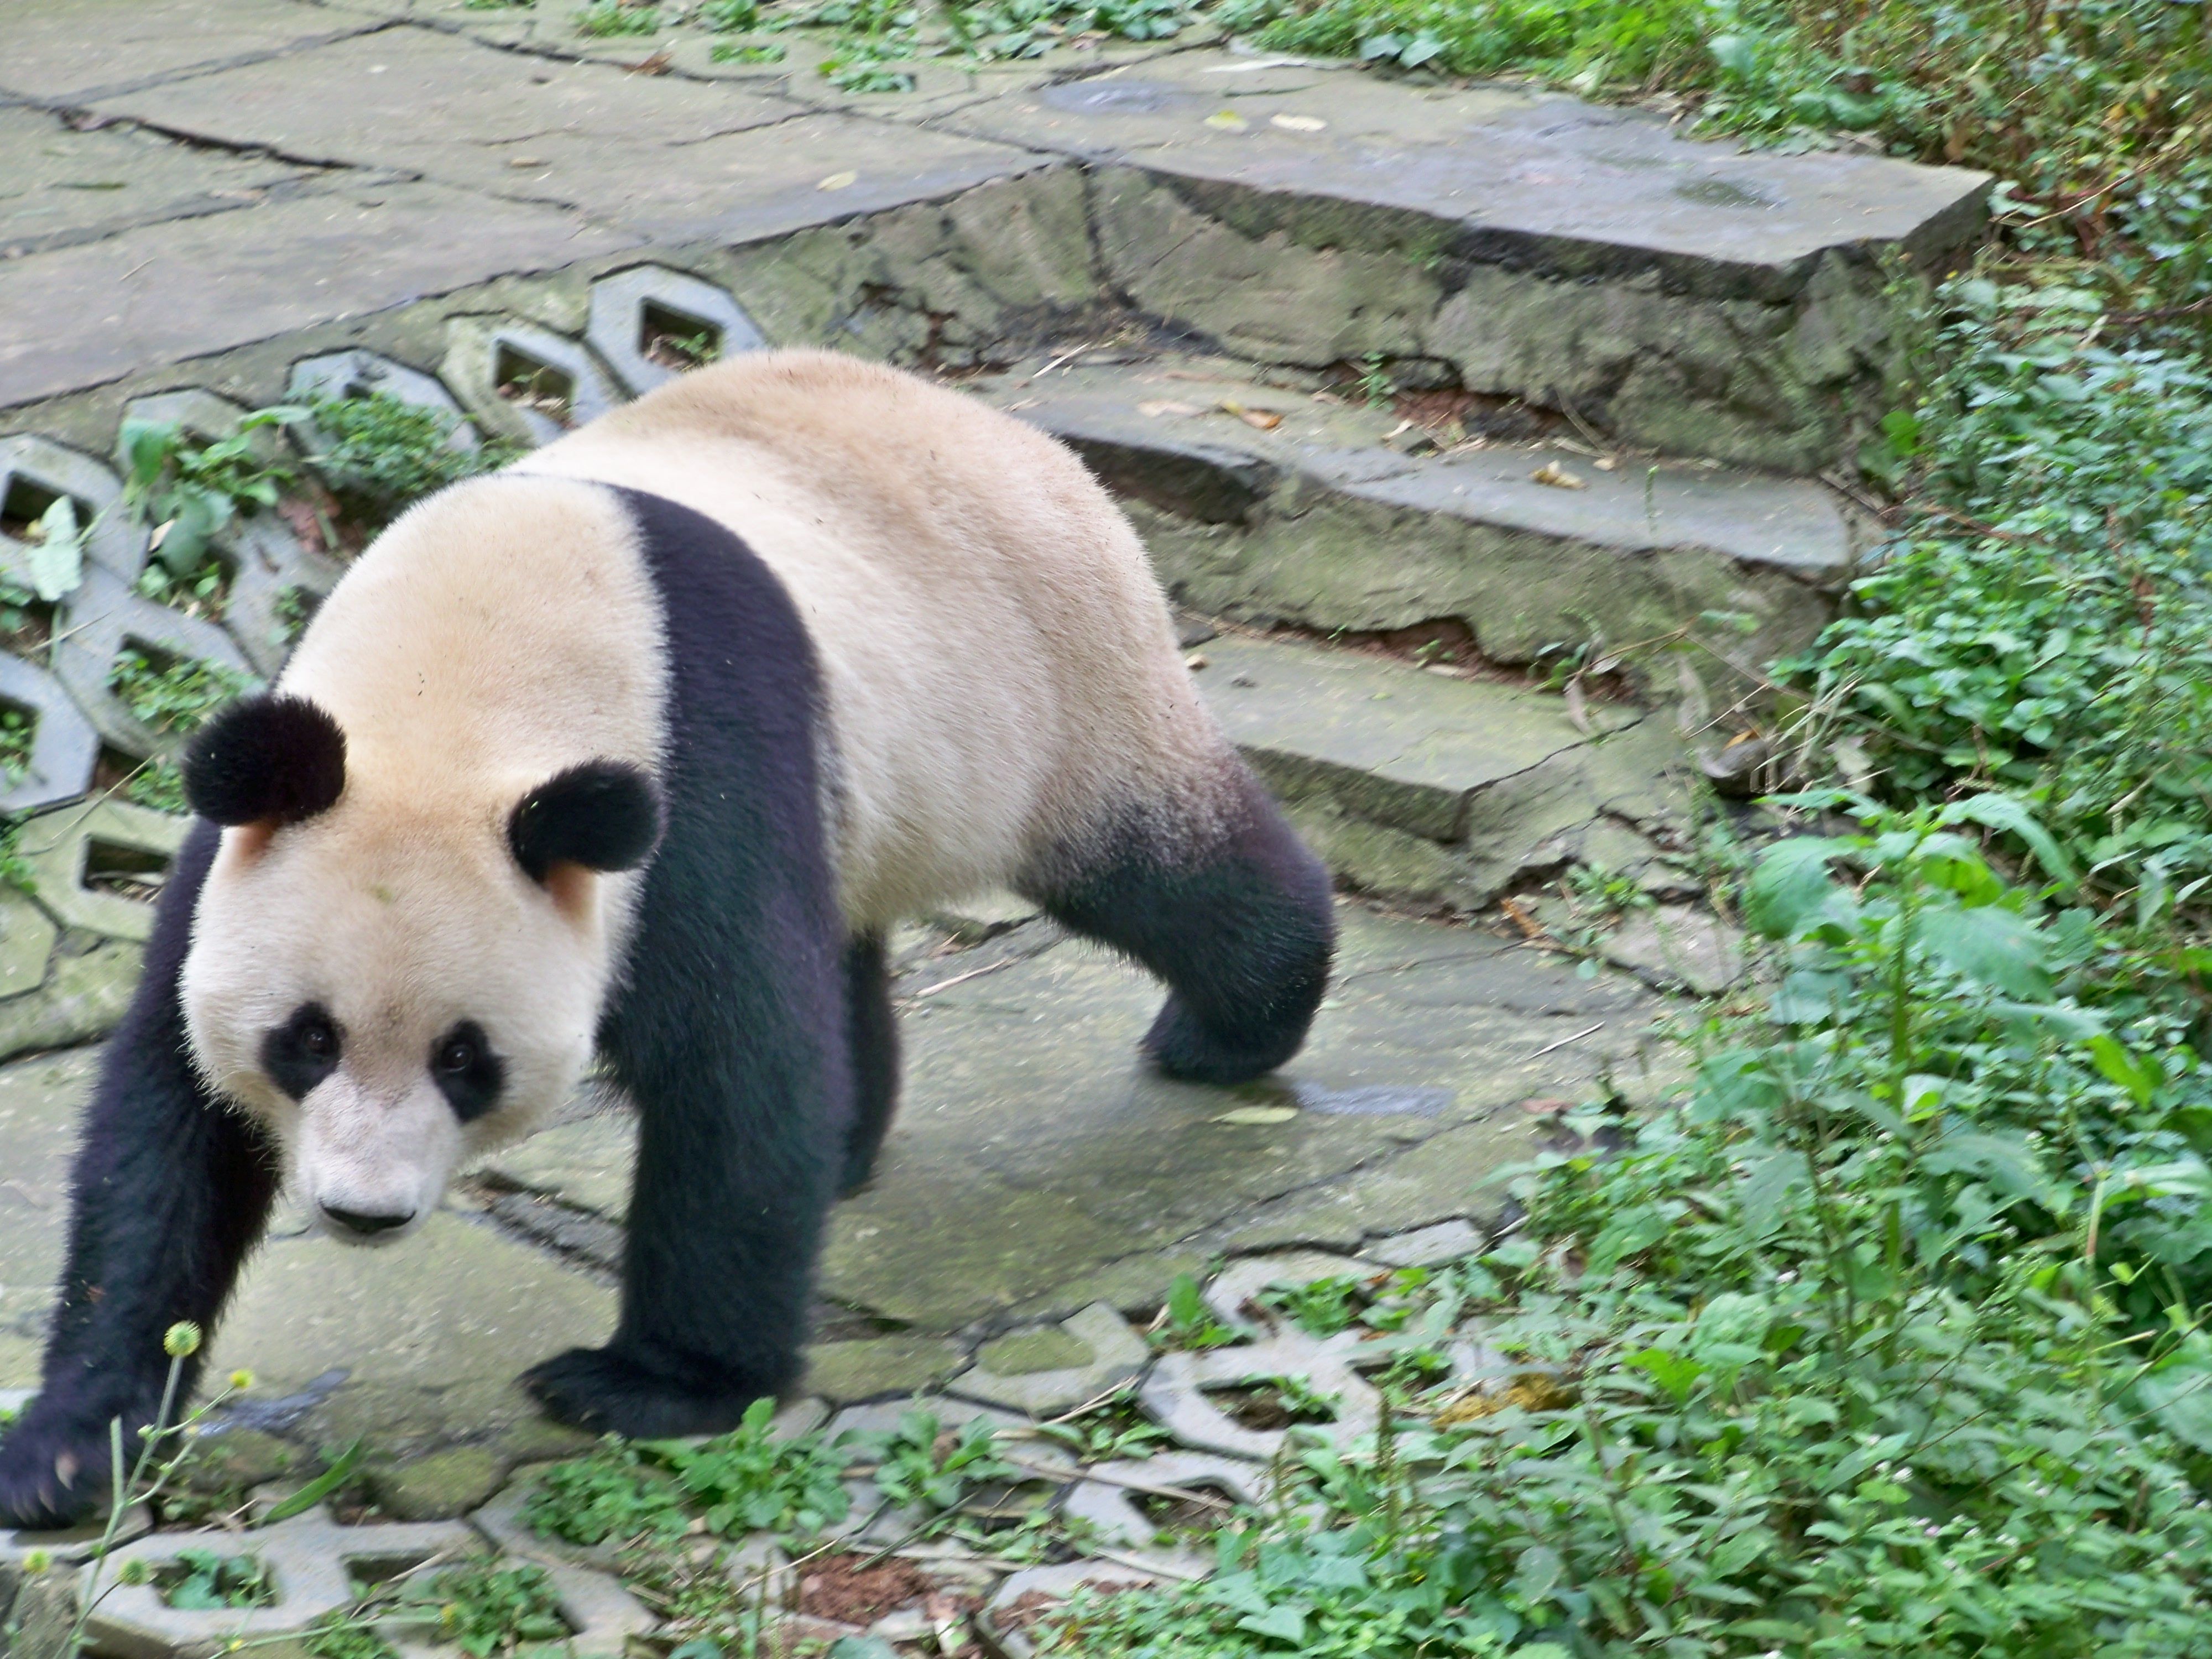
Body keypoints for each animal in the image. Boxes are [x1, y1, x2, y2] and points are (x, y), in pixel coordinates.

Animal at [0, 352, 1327, 1531]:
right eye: (304, 1043)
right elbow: (168, 1116)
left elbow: (737, 1073)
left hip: (1045, 683)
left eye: (464, 1059)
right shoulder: (252, 833)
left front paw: (652, 1388)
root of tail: (1011, 431)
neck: (458, 676)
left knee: (1163, 866)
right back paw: (852, 1147)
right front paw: (71, 1448)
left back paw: (1234, 1024)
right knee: (842, 942)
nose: (364, 1215)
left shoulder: (692, 778)